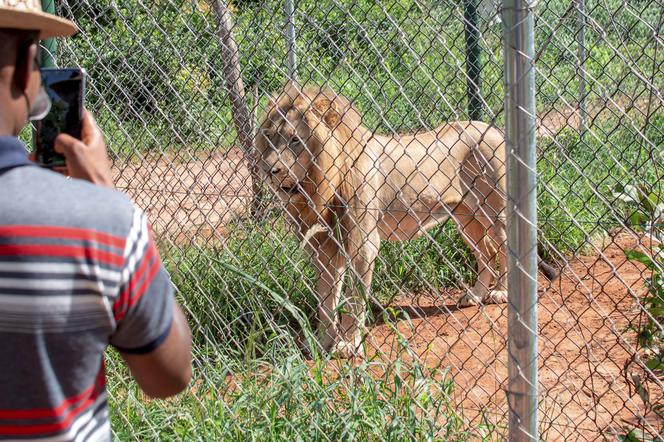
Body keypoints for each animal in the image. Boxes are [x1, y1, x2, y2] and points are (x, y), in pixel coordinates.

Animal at [254, 83, 508, 360]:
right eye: (271, 138)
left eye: (295, 140)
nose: (268, 170)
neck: (319, 185)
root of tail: (491, 128)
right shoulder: (325, 246)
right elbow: (326, 301)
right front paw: (322, 343)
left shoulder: (363, 243)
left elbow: (354, 300)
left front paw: (348, 345)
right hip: (465, 217)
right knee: (486, 254)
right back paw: (475, 295)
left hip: (494, 212)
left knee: (503, 248)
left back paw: (500, 292)